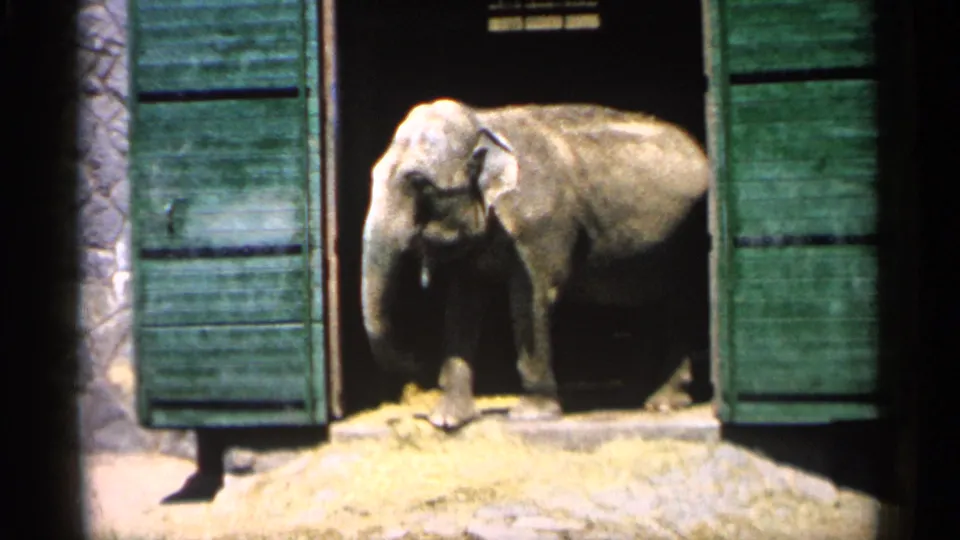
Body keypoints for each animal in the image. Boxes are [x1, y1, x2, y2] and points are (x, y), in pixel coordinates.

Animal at [361, 98, 710, 430]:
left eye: (419, 183)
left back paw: (662, 404)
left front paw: (532, 415)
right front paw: (447, 420)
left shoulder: (543, 224)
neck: (484, 121)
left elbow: (531, 298)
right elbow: (462, 305)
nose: (417, 360)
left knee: (683, 304)